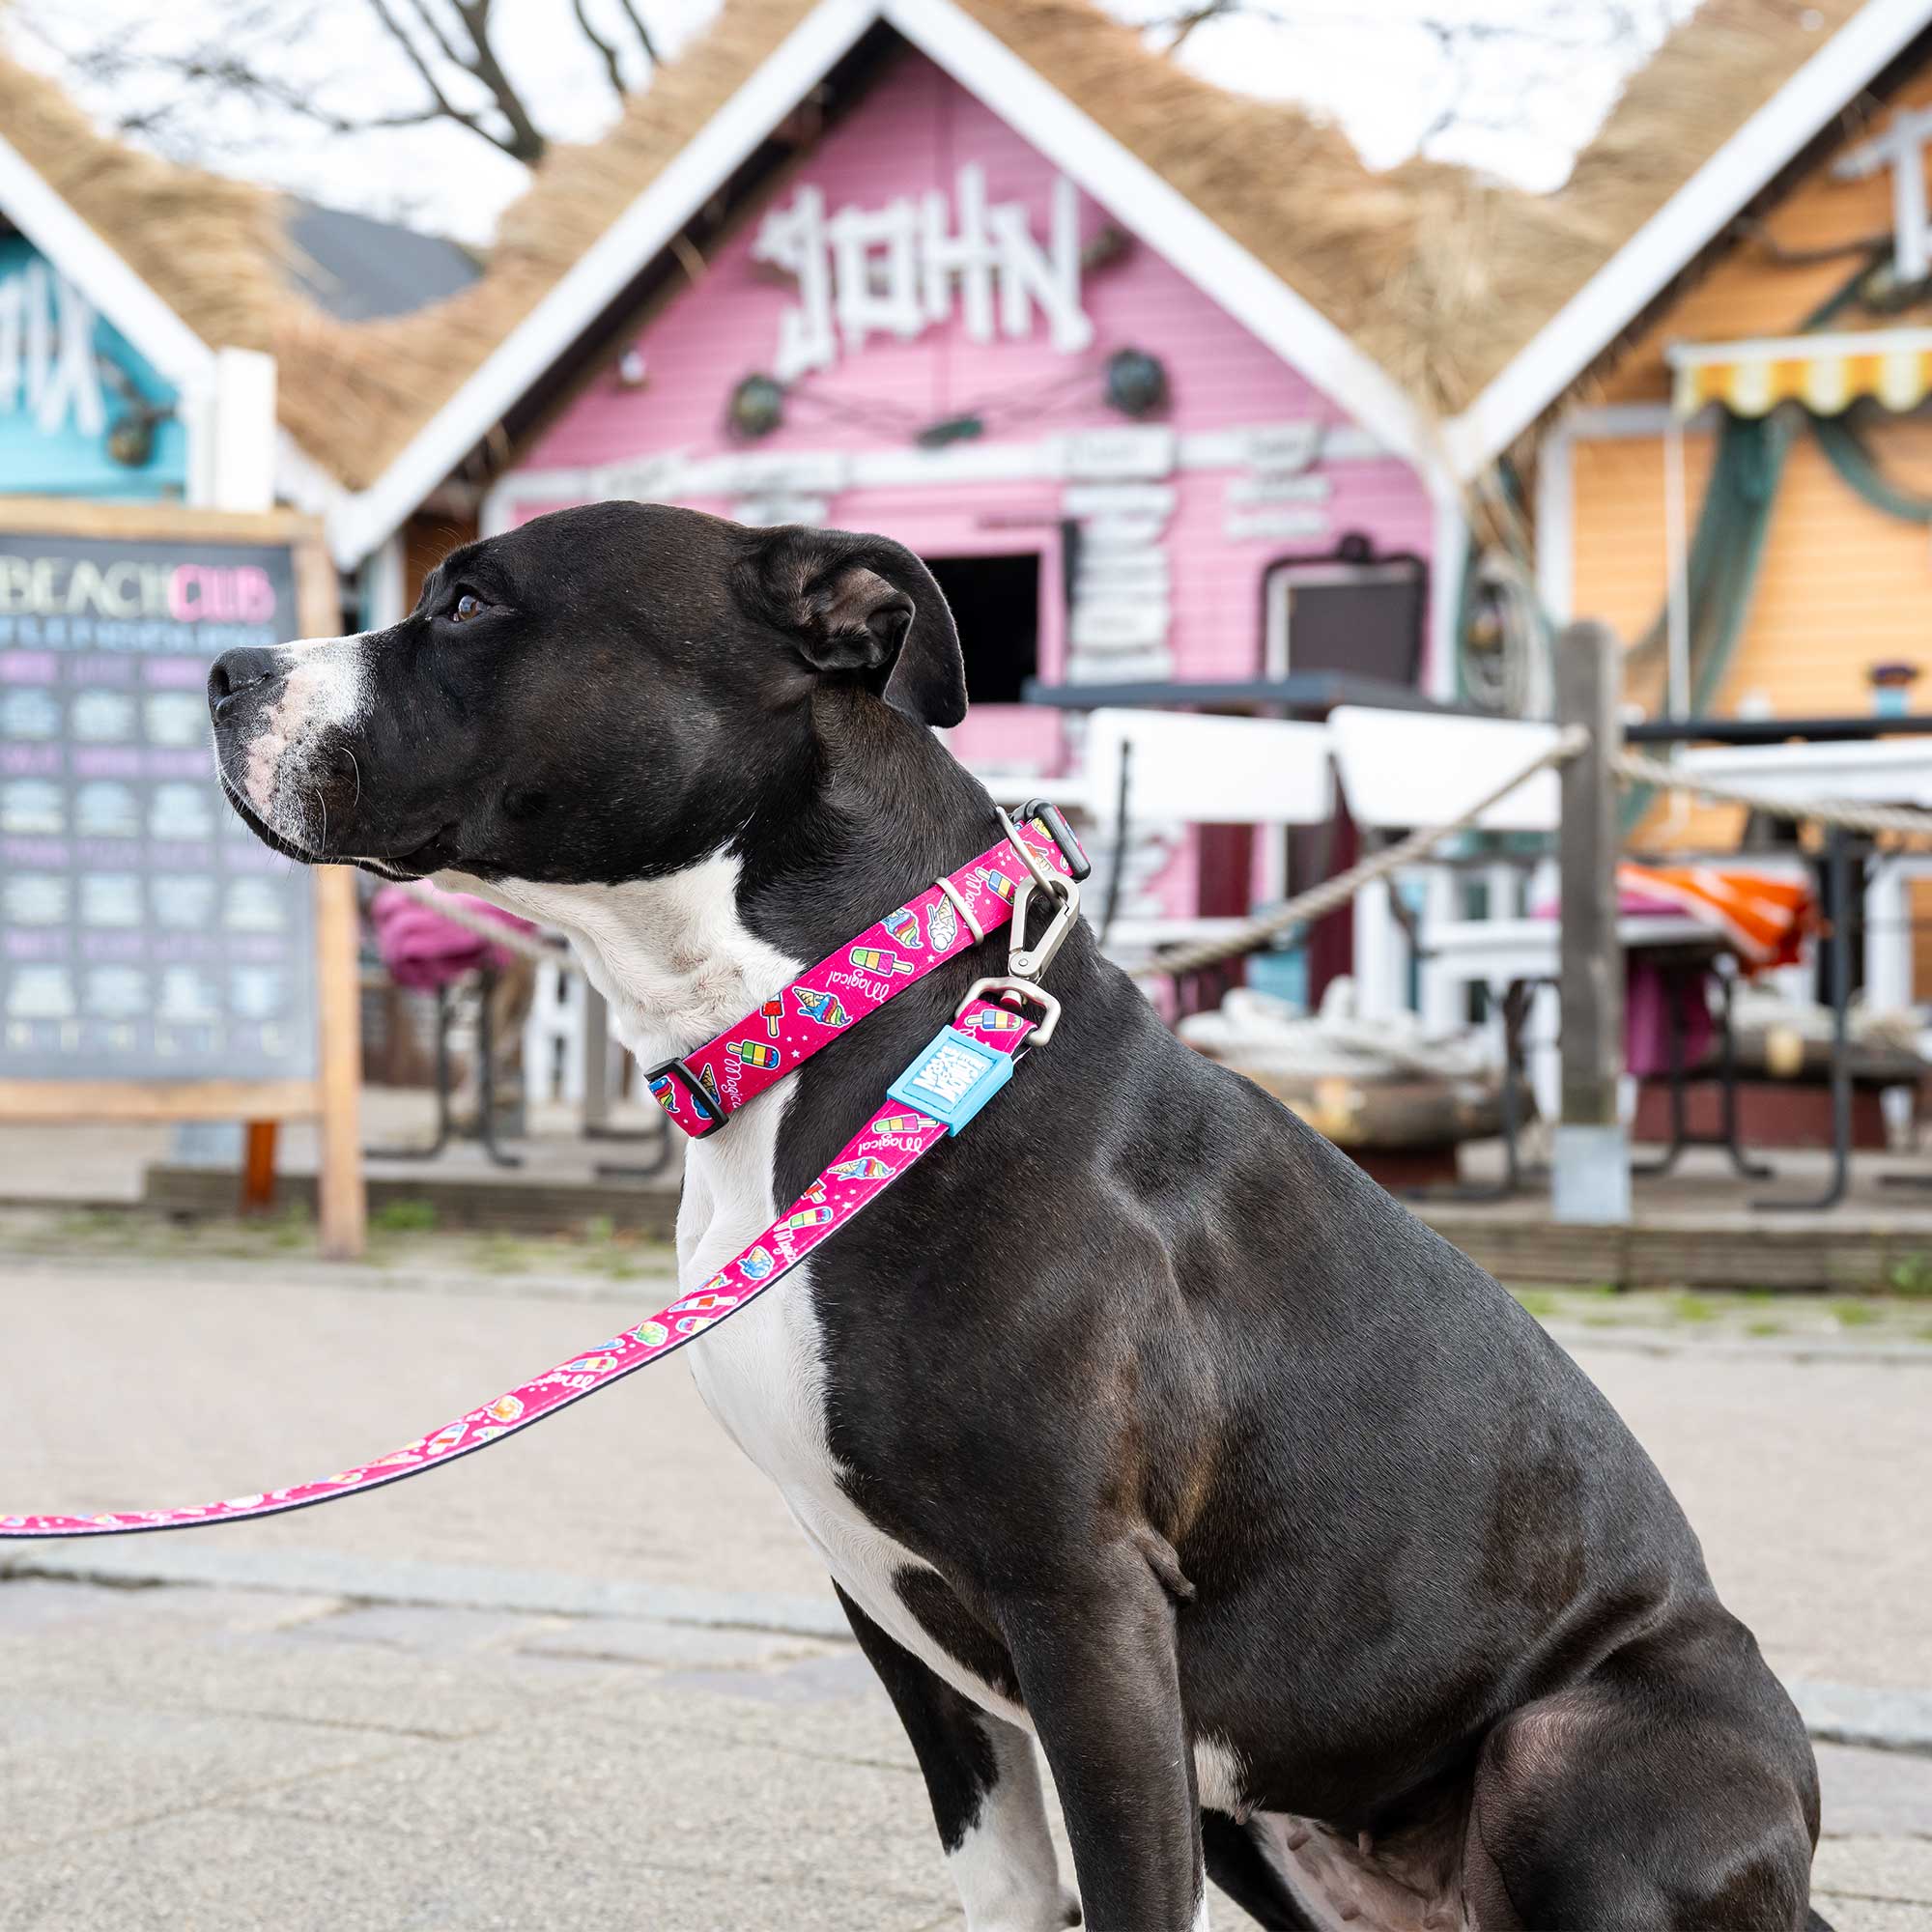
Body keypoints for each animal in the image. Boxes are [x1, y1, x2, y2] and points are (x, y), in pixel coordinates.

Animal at [208, 502, 1824, 1932]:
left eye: (472, 603)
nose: (227, 672)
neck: (833, 1018)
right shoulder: (893, 1610)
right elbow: (1005, 1876)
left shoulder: (1086, 1602)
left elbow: (1124, 1897)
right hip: (1250, 1815)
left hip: (1567, 1747)